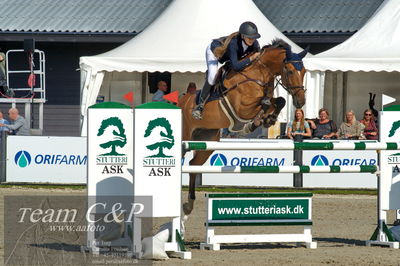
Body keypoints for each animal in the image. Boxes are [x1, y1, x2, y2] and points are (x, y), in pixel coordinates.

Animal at [177, 38, 306, 215]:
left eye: (304, 72)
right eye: (291, 71)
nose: (301, 101)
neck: (258, 74)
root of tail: (180, 102)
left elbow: (278, 101)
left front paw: (267, 119)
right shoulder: (242, 108)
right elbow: (265, 103)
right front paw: (253, 124)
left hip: (208, 140)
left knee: (193, 165)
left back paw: (189, 204)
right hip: (185, 137)